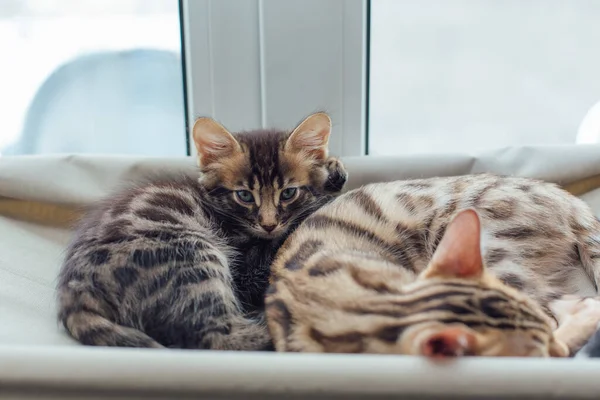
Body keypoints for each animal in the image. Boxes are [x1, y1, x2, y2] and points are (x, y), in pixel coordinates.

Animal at [57, 113, 346, 350]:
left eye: (288, 193)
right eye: (244, 195)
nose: (268, 224)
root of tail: (75, 290)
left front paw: (332, 171)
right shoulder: (247, 270)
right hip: (191, 254)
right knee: (217, 336)